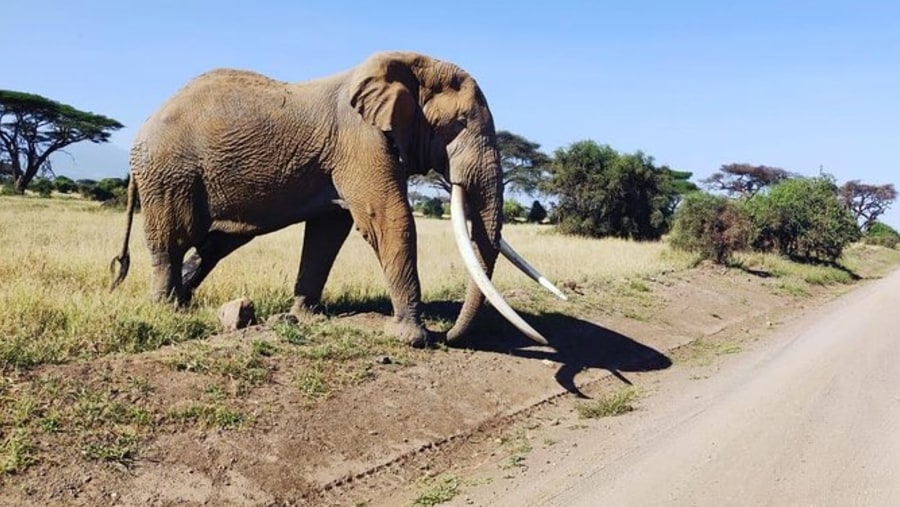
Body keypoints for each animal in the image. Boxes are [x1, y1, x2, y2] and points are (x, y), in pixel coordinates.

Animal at [110, 50, 564, 346]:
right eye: (461, 123)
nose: (448, 335)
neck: (408, 66)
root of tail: (142, 127)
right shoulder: (359, 138)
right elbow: (389, 218)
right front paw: (412, 338)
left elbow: (329, 232)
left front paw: (302, 316)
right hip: (169, 174)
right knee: (174, 239)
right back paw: (167, 309)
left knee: (214, 244)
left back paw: (186, 301)